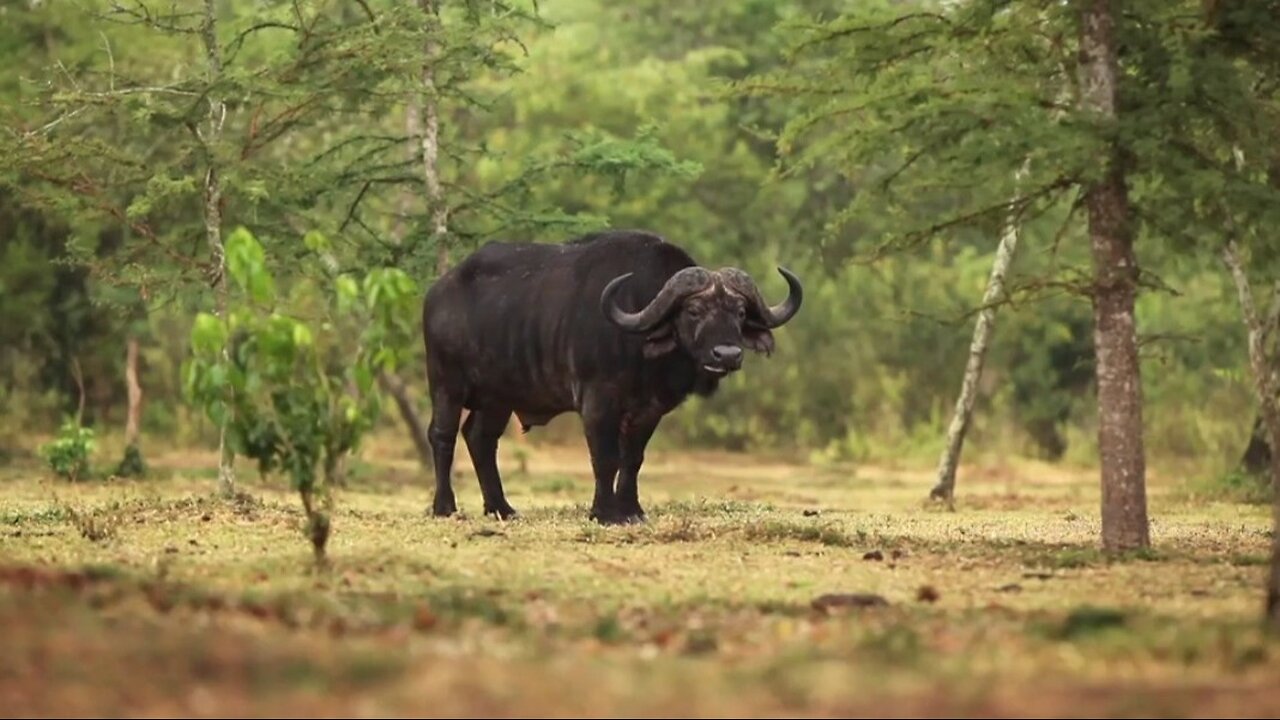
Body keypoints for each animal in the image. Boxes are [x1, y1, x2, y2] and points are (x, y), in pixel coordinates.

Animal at [419, 228, 798, 520]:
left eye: (739, 312)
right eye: (693, 310)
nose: (728, 354)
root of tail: (437, 292)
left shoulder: (649, 410)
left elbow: (632, 459)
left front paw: (631, 510)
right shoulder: (597, 403)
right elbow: (605, 457)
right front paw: (604, 513)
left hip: (498, 398)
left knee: (480, 438)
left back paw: (501, 507)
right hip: (446, 384)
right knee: (442, 435)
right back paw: (444, 506)